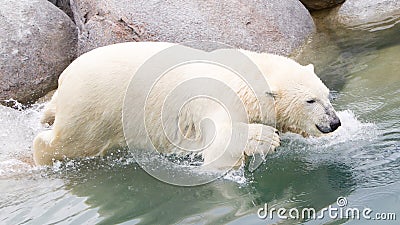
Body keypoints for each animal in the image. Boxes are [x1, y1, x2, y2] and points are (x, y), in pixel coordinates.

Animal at [33, 42, 340, 169]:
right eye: (310, 101)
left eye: (327, 96)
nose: (334, 122)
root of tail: (64, 77)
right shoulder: (217, 100)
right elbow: (218, 146)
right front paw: (263, 138)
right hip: (93, 108)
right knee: (69, 141)